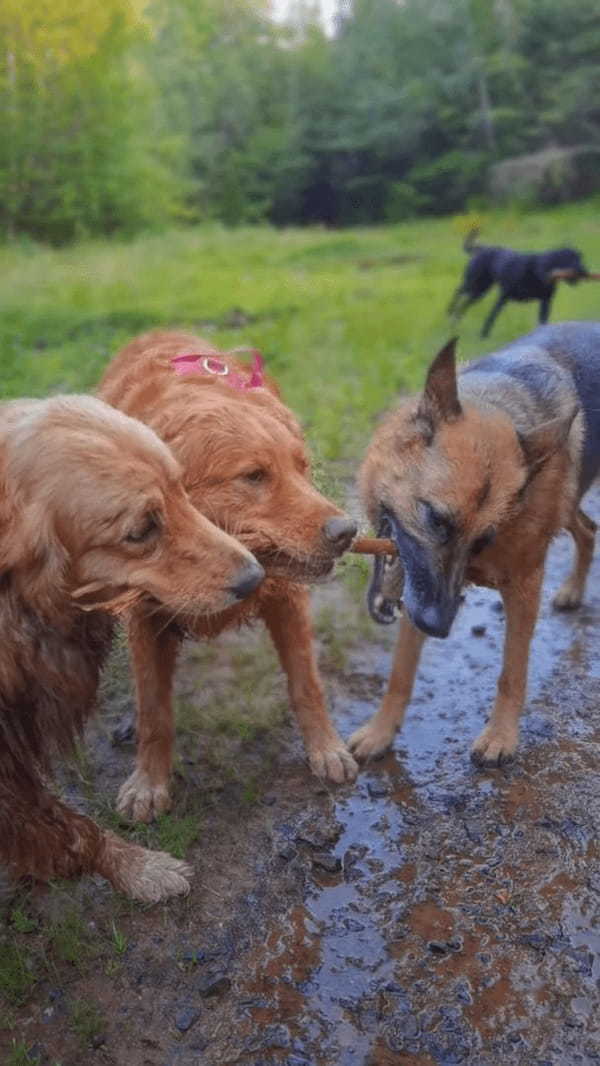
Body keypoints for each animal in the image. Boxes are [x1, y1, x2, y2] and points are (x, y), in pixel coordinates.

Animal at [99, 328, 360, 818]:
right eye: (254, 476)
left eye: (302, 467)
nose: (348, 531)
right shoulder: (144, 615)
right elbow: (154, 711)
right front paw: (148, 782)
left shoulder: (288, 598)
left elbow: (307, 685)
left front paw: (326, 748)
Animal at [349, 321, 600, 767]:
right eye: (435, 518)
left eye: (485, 538)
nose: (439, 627)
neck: (499, 405)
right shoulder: (422, 594)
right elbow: (400, 674)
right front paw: (381, 731)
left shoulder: (523, 589)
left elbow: (512, 672)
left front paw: (501, 735)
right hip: (569, 506)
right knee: (589, 529)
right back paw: (573, 589)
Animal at [447, 229, 588, 336]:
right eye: (569, 258)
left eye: (580, 257)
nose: (584, 271)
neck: (537, 271)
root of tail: (480, 249)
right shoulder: (503, 296)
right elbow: (492, 315)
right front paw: (484, 334)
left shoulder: (545, 302)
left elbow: (543, 321)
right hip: (475, 285)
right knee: (458, 291)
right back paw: (449, 311)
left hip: (479, 291)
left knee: (464, 303)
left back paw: (455, 319)